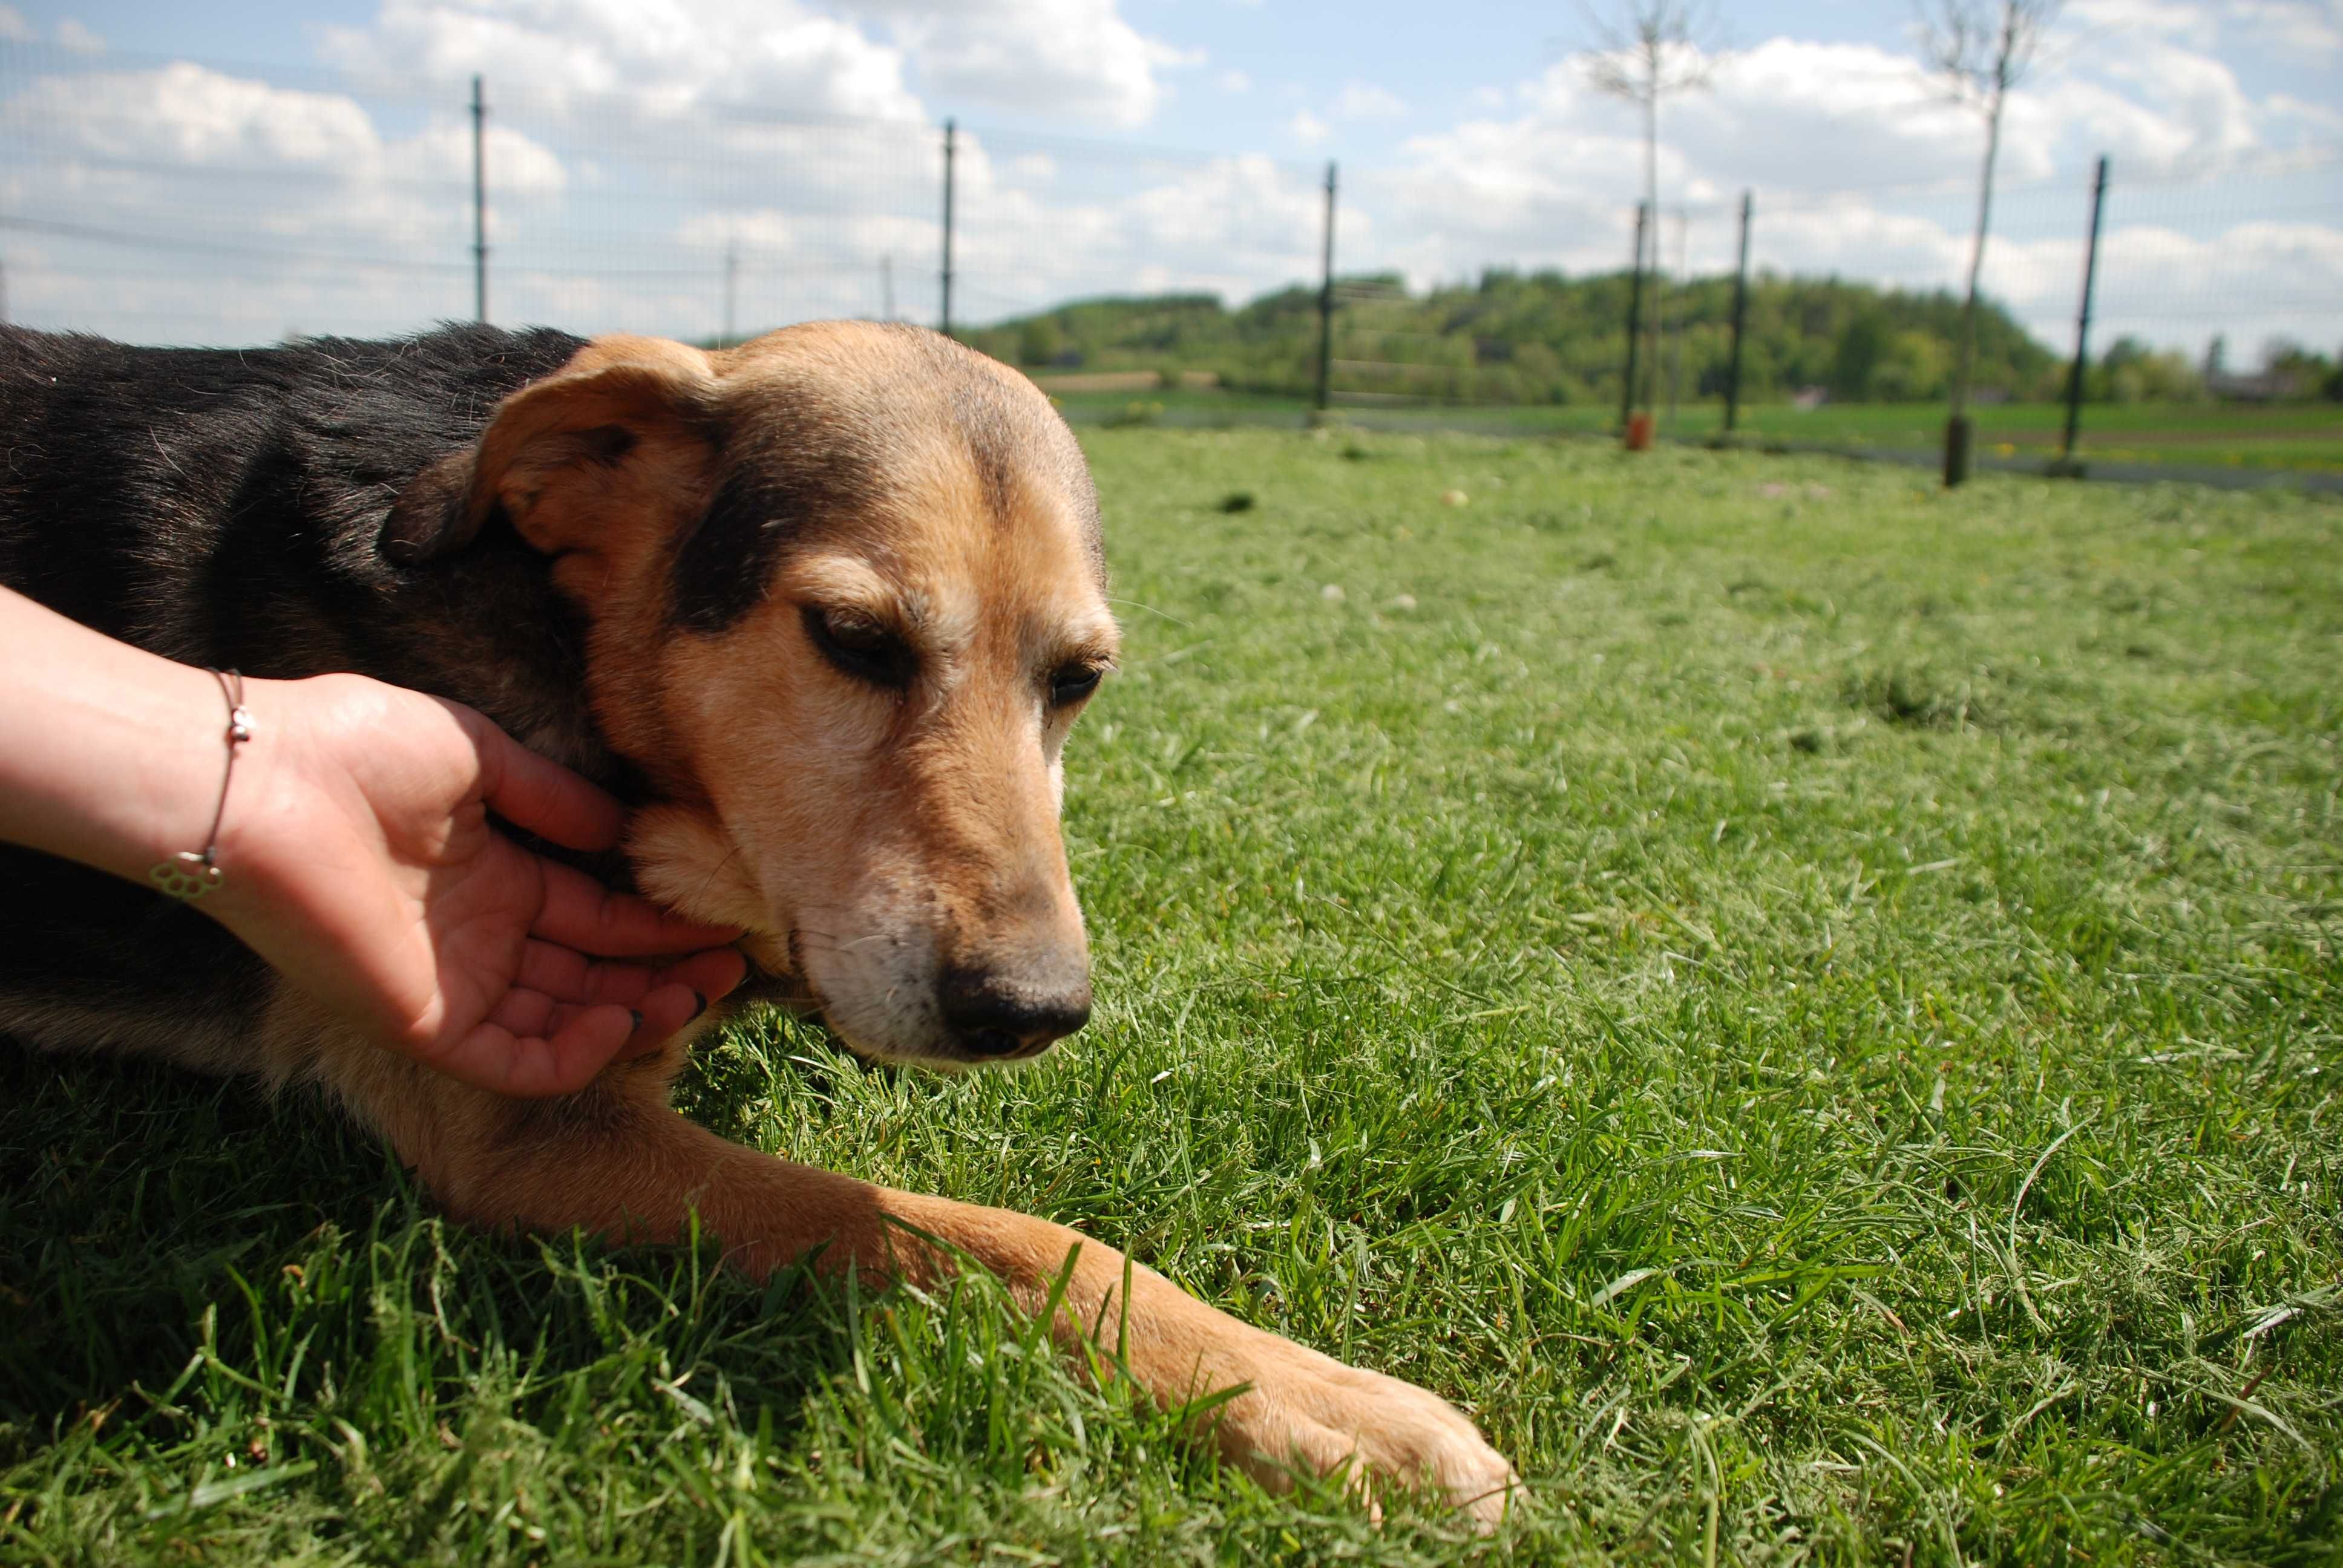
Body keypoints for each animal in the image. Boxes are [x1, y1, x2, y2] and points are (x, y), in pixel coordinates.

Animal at [0, 321, 1518, 1528]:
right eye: (853, 641)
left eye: (1079, 679)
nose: (1035, 1013)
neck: (573, 642)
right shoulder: (525, 1126)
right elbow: (988, 1234)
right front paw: (1306, 1399)